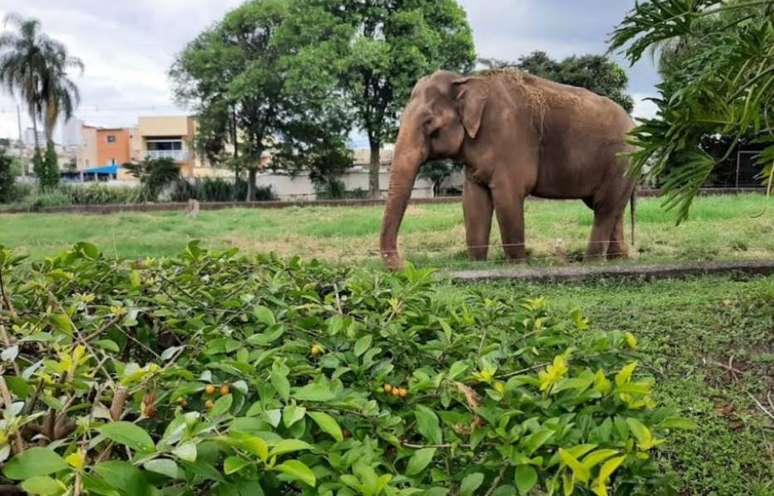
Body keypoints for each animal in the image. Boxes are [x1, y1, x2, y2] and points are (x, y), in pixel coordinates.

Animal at [379, 69, 637, 270]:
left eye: (429, 124)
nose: (406, 265)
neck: (467, 80)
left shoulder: (509, 139)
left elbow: (507, 198)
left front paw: (518, 265)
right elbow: (473, 202)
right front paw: (477, 264)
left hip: (621, 161)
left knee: (604, 208)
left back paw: (591, 262)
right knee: (611, 208)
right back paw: (618, 259)